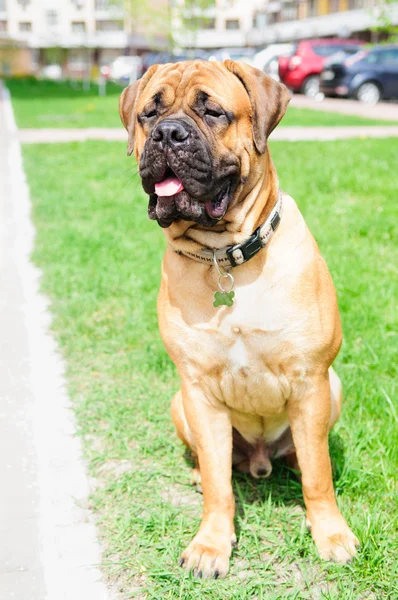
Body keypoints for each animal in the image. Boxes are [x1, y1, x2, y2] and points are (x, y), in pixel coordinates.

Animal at [119, 59, 360, 576]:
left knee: (308, 456)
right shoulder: (198, 392)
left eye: (213, 111)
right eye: (149, 113)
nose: (167, 134)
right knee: (217, 466)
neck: (224, 255)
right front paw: (211, 543)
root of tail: (261, 460)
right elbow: (218, 483)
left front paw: (331, 533)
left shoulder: (310, 379)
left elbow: (318, 476)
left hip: (332, 390)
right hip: (179, 404)